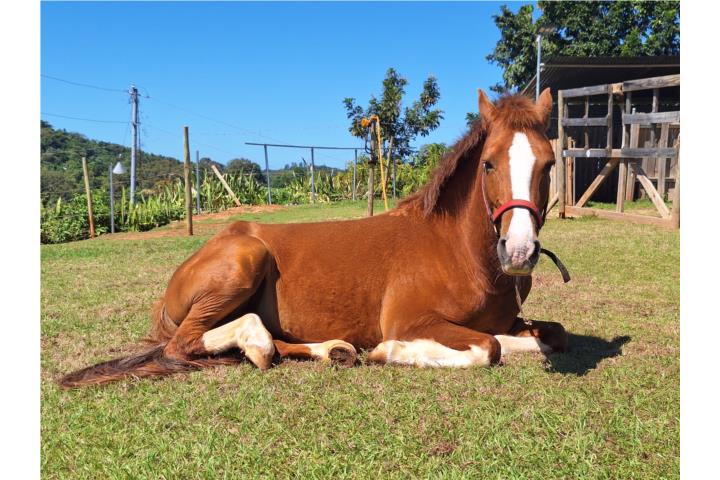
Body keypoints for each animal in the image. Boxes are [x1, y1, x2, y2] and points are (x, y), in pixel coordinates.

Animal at [59, 88, 568, 387]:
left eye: (549, 164)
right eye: (488, 164)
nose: (519, 252)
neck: (460, 253)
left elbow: (551, 335)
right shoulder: (412, 320)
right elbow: (488, 348)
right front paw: (390, 352)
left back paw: (328, 349)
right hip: (242, 262)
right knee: (184, 344)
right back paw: (257, 341)